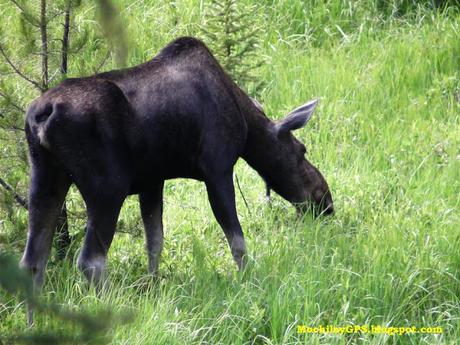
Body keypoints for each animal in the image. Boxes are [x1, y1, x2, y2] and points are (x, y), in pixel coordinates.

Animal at [20, 35, 334, 310]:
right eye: (302, 149)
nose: (326, 200)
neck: (244, 122)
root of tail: (42, 117)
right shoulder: (217, 169)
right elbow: (237, 241)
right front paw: (249, 281)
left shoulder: (152, 182)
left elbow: (155, 241)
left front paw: (154, 286)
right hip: (107, 188)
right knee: (90, 261)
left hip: (45, 179)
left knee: (32, 262)